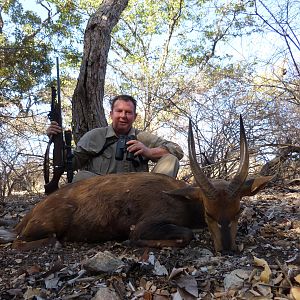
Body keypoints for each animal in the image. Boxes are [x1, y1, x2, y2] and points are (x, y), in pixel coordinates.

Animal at [2, 116, 272, 252]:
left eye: (238, 211)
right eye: (208, 213)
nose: (227, 250)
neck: (181, 198)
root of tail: (28, 216)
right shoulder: (147, 224)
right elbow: (183, 235)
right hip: (47, 228)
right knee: (25, 242)